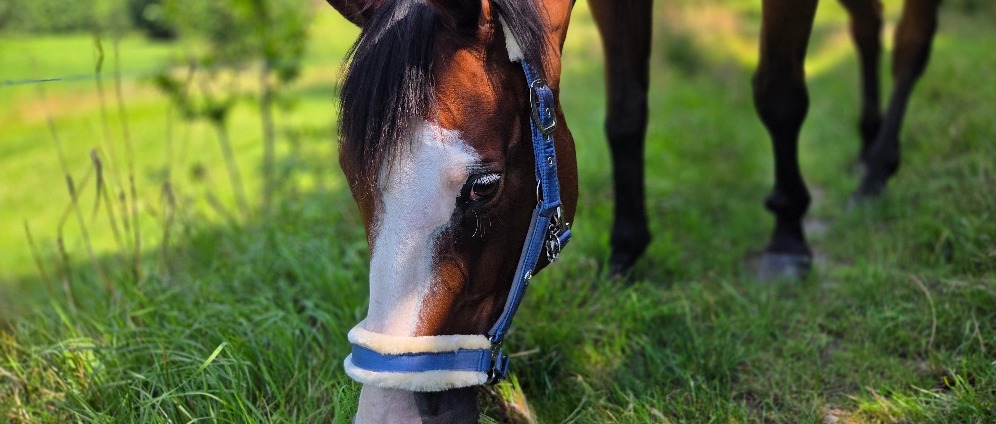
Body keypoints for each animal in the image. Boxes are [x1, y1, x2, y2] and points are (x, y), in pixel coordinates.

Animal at [324, 0, 940, 421]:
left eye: (484, 186)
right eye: (352, 175)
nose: (388, 411)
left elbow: (779, 94)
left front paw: (787, 239)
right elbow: (625, 113)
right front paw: (626, 252)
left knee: (911, 40)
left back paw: (877, 167)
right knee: (867, 25)